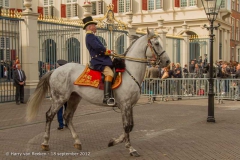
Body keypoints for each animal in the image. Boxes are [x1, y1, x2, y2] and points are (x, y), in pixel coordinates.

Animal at [26, 28, 171, 156]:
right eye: (156, 43)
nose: (168, 61)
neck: (130, 72)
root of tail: (55, 70)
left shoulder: (130, 106)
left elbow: (130, 126)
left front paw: (114, 141)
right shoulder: (125, 105)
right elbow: (127, 126)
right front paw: (129, 148)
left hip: (74, 98)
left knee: (67, 117)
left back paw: (77, 142)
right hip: (59, 98)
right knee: (49, 115)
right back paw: (45, 143)